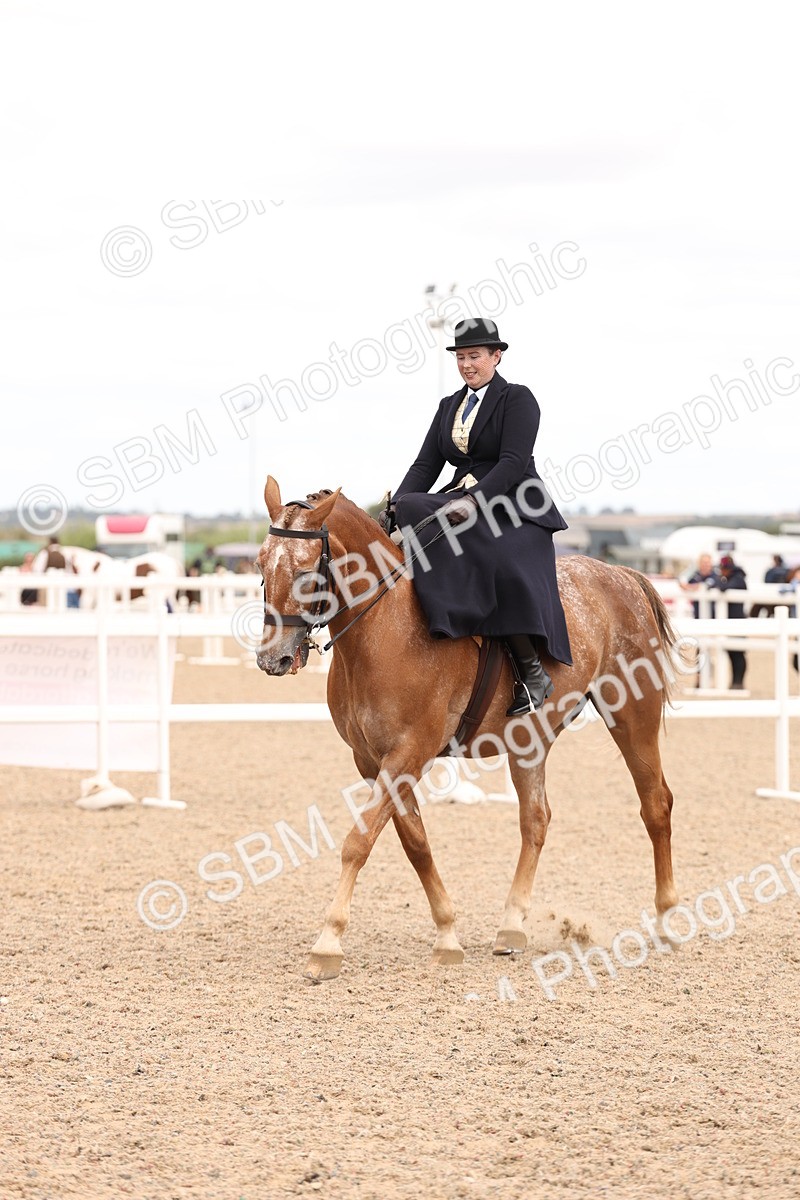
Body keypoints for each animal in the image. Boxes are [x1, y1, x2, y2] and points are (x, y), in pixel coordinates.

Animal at [256, 476, 682, 981]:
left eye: (305, 572)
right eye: (261, 565)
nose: (272, 658)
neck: (382, 630)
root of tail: (621, 575)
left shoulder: (408, 754)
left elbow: (358, 842)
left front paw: (327, 945)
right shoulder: (373, 761)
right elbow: (415, 843)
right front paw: (447, 935)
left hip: (633, 713)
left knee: (655, 804)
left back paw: (667, 919)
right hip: (530, 741)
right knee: (536, 820)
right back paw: (511, 926)